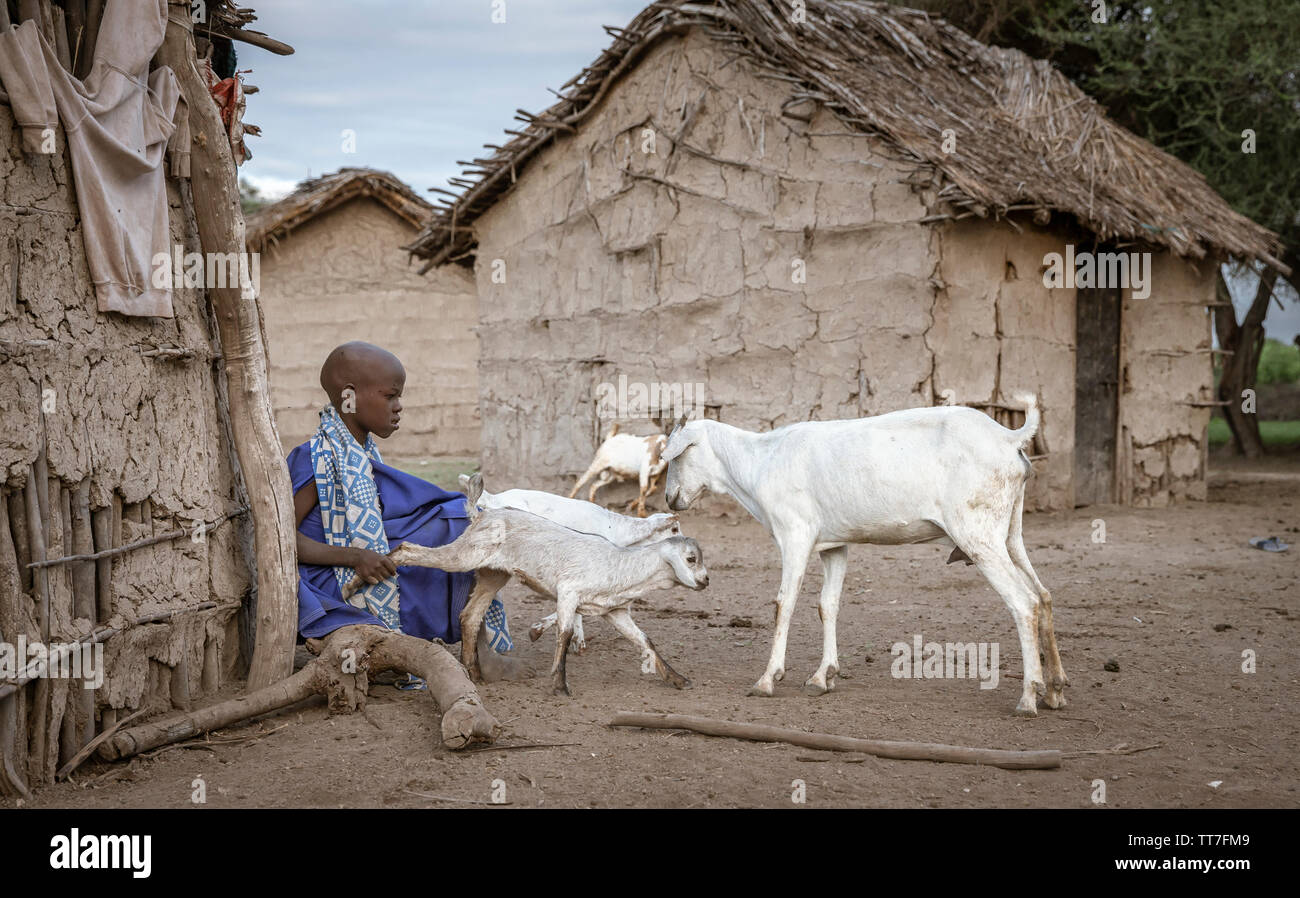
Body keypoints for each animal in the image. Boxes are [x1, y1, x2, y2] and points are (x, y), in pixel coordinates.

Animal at [660, 397, 1066, 722]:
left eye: (677, 457)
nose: (669, 498)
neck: (760, 460)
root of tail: (1008, 438)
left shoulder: (795, 534)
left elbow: (783, 604)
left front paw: (767, 679)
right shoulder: (834, 545)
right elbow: (828, 605)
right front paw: (823, 677)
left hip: (977, 532)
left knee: (1024, 602)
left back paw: (1028, 697)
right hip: (1009, 533)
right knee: (1044, 595)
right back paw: (1055, 691)